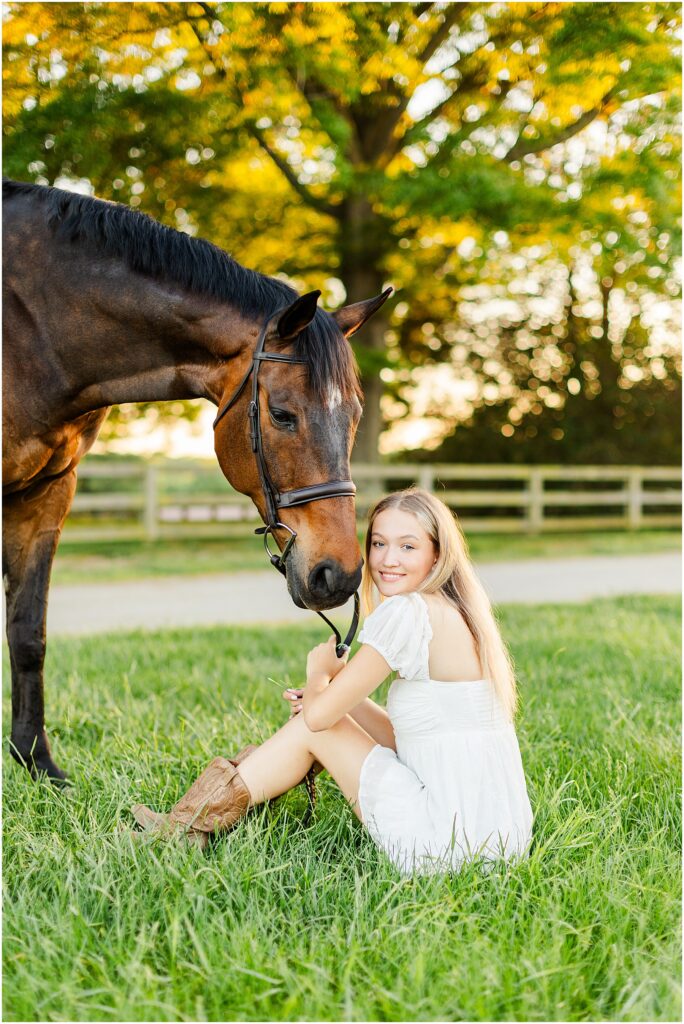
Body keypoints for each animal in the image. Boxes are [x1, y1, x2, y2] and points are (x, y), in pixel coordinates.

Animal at [2, 180, 389, 778]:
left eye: (354, 416)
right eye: (282, 414)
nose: (339, 575)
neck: (34, 328)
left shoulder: (48, 492)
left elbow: (28, 633)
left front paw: (35, 763)